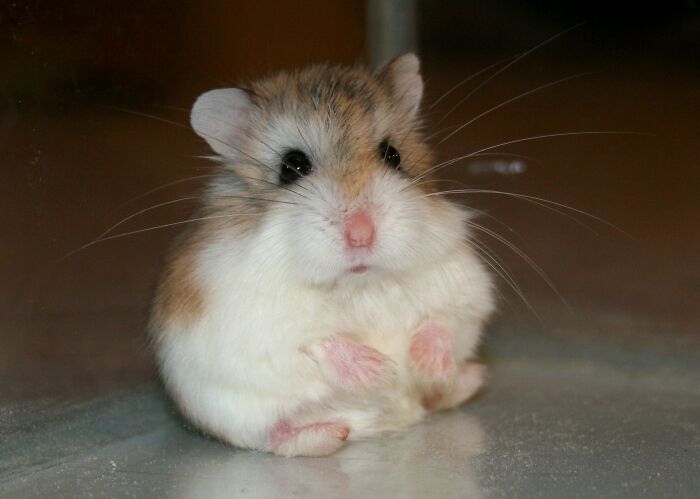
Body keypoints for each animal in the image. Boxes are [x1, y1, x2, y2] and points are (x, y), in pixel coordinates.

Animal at [150, 54, 495, 457]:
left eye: (392, 155)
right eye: (292, 166)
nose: (361, 235)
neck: (358, 283)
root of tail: (392, 419)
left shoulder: (464, 286)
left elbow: (442, 320)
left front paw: (423, 363)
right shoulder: (258, 324)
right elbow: (317, 339)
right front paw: (379, 368)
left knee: (434, 399)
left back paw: (465, 378)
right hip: (232, 415)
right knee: (275, 435)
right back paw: (332, 433)